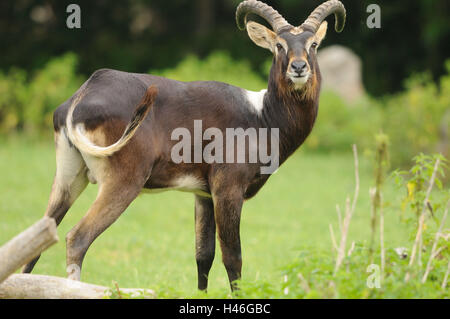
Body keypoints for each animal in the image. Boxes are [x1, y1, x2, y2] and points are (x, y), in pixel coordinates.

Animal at [21, 0, 346, 292]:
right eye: (279, 45)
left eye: (313, 44)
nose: (299, 67)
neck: (261, 116)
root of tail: (82, 96)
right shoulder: (228, 189)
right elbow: (233, 258)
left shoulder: (203, 195)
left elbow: (203, 256)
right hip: (122, 183)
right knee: (77, 238)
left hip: (68, 179)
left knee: (36, 239)